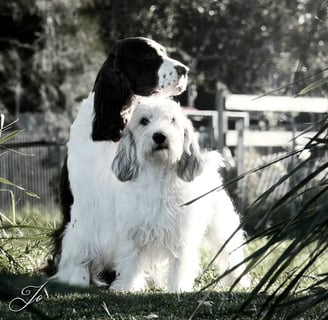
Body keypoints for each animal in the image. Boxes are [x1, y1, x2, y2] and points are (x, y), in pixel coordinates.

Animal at [45, 36, 190, 286]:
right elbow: (80, 249)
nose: (185, 70)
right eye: (148, 55)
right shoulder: (85, 209)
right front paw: (78, 280)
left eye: (164, 52)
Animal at [109, 99, 249, 292]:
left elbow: (179, 266)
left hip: (222, 229)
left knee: (231, 253)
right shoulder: (132, 234)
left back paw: (238, 280)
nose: (159, 136)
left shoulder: (182, 237)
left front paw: (178, 289)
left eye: (172, 120)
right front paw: (127, 287)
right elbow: (130, 262)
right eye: (144, 121)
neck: (159, 177)